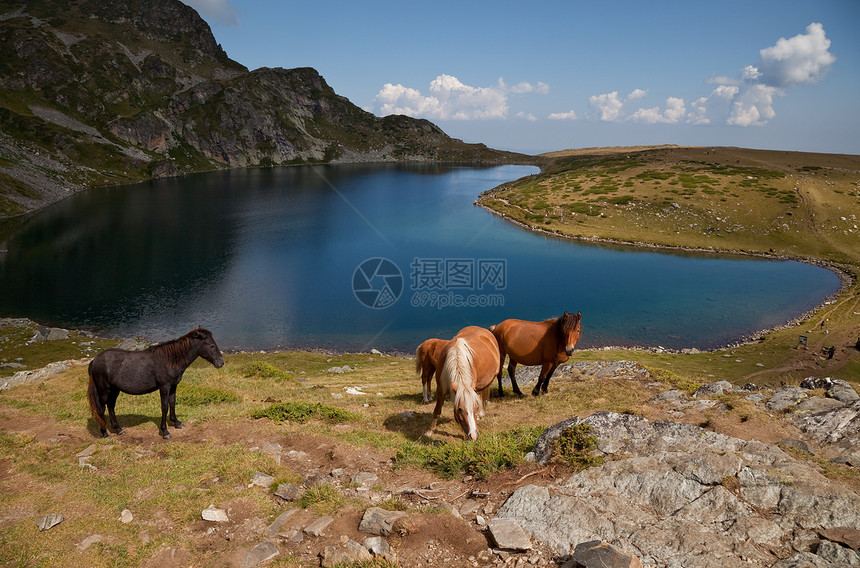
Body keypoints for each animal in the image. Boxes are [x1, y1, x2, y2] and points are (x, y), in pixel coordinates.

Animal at [87, 328, 225, 440]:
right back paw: (105, 433)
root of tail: (95, 360)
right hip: (104, 390)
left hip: (114, 390)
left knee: (111, 406)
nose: (221, 362)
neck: (170, 359)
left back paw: (118, 429)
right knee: (101, 408)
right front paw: (165, 431)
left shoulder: (173, 386)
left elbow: (172, 403)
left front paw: (176, 423)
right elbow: (164, 407)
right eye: (212, 345)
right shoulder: (164, 387)